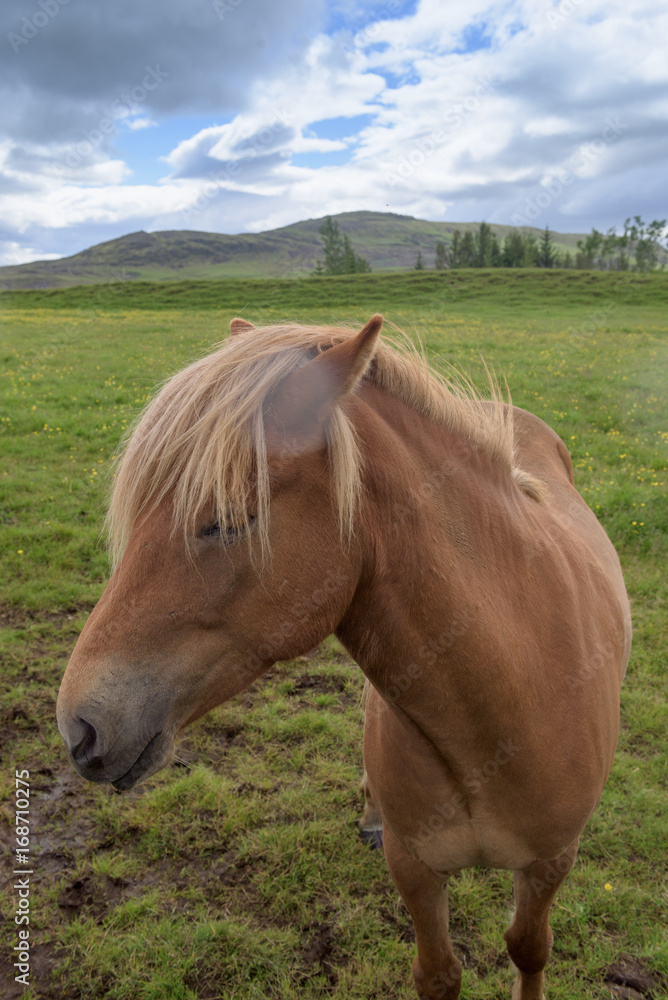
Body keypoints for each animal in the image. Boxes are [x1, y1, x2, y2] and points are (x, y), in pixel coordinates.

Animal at [57, 314, 632, 1000]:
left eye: (231, 518)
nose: (79, 725)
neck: (505, 701)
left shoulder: (552, 862)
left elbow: (528, 947)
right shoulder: (415, 868)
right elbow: (438, 973)